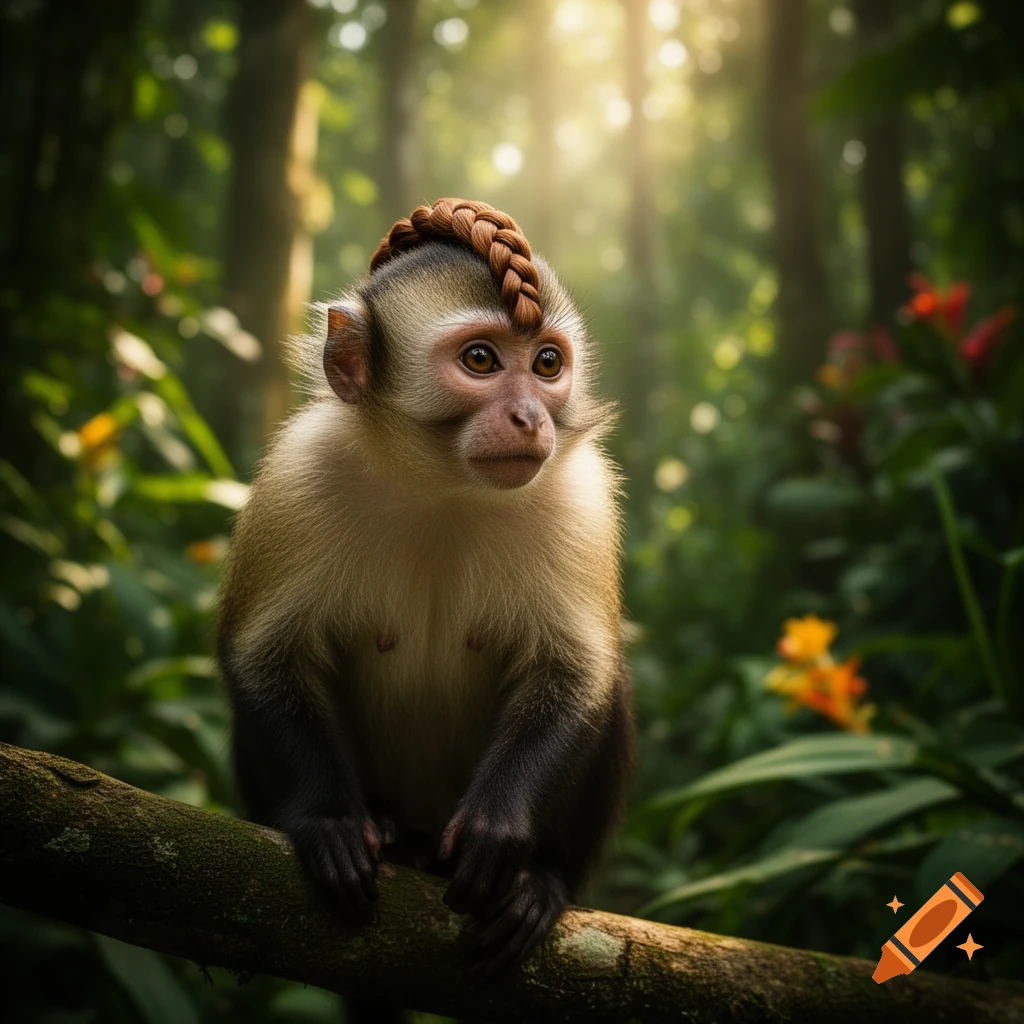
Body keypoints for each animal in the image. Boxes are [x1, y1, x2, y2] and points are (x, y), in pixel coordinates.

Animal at [216, 198, 634, 978]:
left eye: (547, 363)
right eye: (480, 359)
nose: (530, 417)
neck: (443, 487)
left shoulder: (581, 494)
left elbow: (577, 673)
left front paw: (503, 827)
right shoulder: (297, 475)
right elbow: (259, 659)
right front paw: (330, 818)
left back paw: (542, 883)